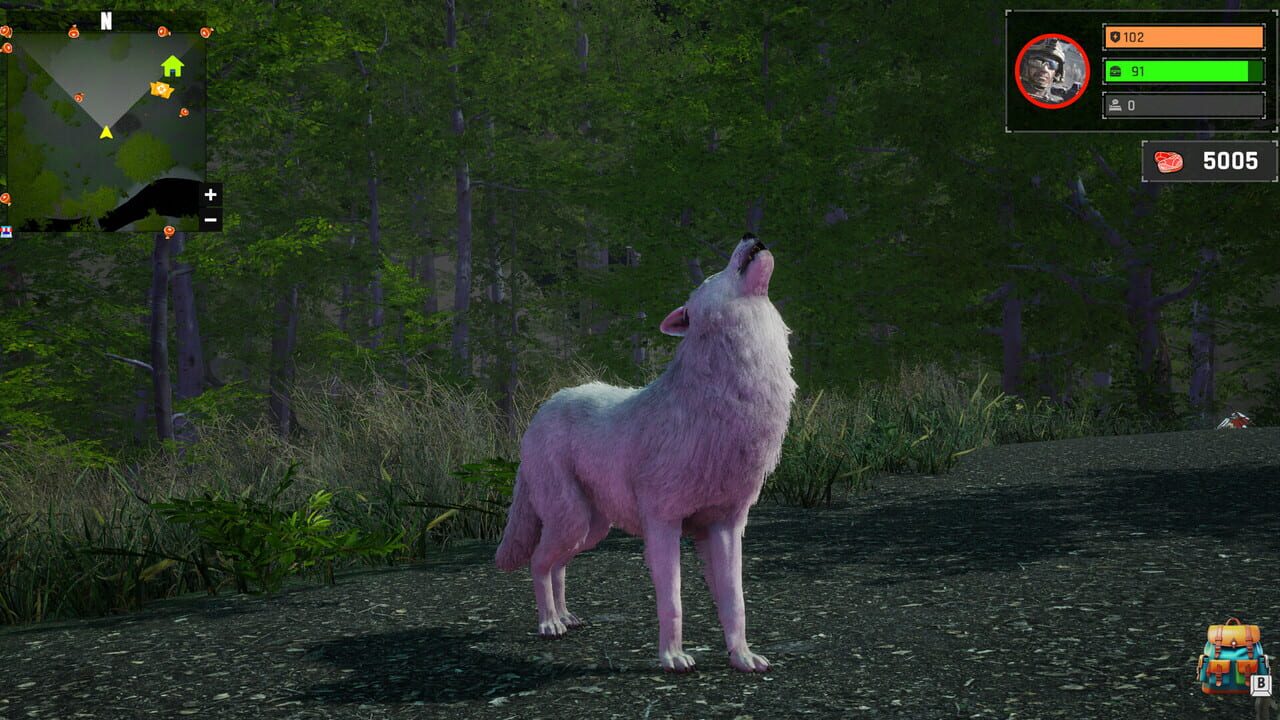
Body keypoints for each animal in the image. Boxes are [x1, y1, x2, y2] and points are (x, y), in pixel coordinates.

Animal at [495, 233, 796, 673]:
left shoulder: (726, 526)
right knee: (538, 561)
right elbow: (672, 600)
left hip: (590, 529)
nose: (749, 236)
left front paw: (742, 657)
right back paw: (549, 622)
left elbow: (735, 602)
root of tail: (543, 409)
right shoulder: (663, 522)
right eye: (713, 274)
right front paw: (672, 657)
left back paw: (566, 616)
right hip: (572, 520)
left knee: (558, 564)